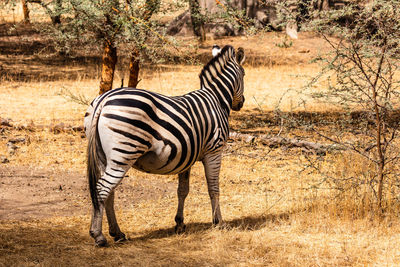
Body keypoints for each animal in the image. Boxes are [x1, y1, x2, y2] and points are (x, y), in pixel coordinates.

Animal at [85, 44, 244, 247]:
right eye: (244, 74)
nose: (241, 104)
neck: (216, 98)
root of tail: (104, 99)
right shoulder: (214, 151)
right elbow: (213, 188)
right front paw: (219, 222)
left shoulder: (188, 155)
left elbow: (182, 190)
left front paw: (179, 223)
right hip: (123, 153)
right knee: (102, 189)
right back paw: (98, 235)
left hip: (104, 156)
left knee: (108, 192)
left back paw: (117, 233)